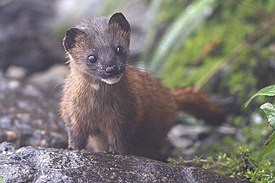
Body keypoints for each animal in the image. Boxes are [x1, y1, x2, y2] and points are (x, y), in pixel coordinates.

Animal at [60, 12, 224, 159]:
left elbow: (120, 135)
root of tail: (170, 95)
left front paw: (116, 152)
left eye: (119, 48)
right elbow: (75, 132)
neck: (99, 107)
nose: (112, 68)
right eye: (91, 57)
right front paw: (75, 148)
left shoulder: (126, 112)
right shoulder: (72, 111)